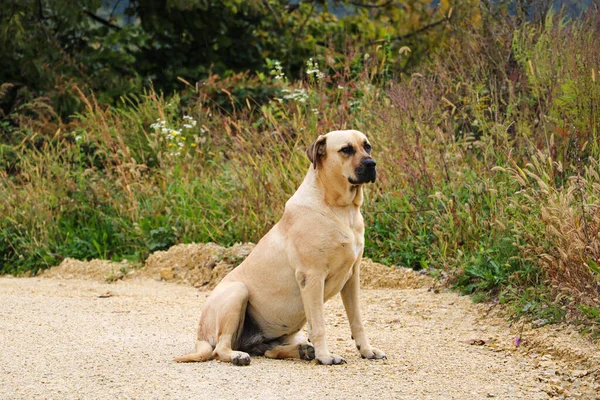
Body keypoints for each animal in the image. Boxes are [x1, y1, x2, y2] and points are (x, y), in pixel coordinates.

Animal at [173, 130, 390, 364]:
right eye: (346, 149)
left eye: (367, 146)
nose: (371, 164)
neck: (341, 208)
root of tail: (200, 335)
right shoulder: (311, 277)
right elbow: (319, 325)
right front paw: (325, 356)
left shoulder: (352, 278)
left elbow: (357, 321)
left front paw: (367, 350)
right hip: (238, 292)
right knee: (220, 348)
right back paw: (238, 355)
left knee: (269, 350)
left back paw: (304, 351)